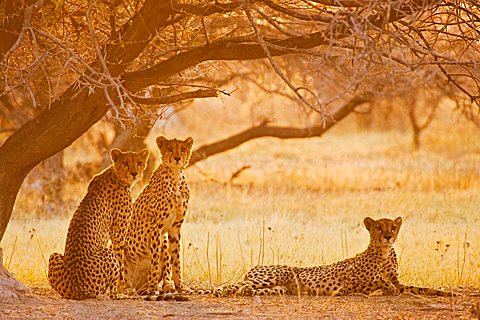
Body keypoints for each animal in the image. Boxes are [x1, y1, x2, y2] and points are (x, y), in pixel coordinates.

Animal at [47, 148, 148, 300]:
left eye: (139, 163)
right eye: (125, 163)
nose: (134, 173)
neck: (115, 174)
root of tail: (77, 290)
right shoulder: (118, 234)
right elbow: (121, 263)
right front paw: (124, 288)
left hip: (54, 256)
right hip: (107, 253)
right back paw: (115, 294)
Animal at [124, 136, 195, 294]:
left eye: (182, 149)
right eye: (169, 149)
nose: (177, 158)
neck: (175, 177)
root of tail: (137, 286)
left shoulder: (175, 227)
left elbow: (175, 259)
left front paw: (179, 286)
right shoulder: (156, 227)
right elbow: (155, 260)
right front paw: (153, 288)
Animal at [213, 218, 454, 298]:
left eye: (393, 227)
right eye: (379, 227)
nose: (388, 236)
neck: (384, 253)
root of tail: (254, 267)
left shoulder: (398, 280)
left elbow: (418, 288)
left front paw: (447, 293)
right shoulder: (352, 282)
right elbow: (381, 282)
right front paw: (387, 289)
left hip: (279, 288)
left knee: (247, 288)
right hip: (275, 275)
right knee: (238, 285)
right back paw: (223, 291)